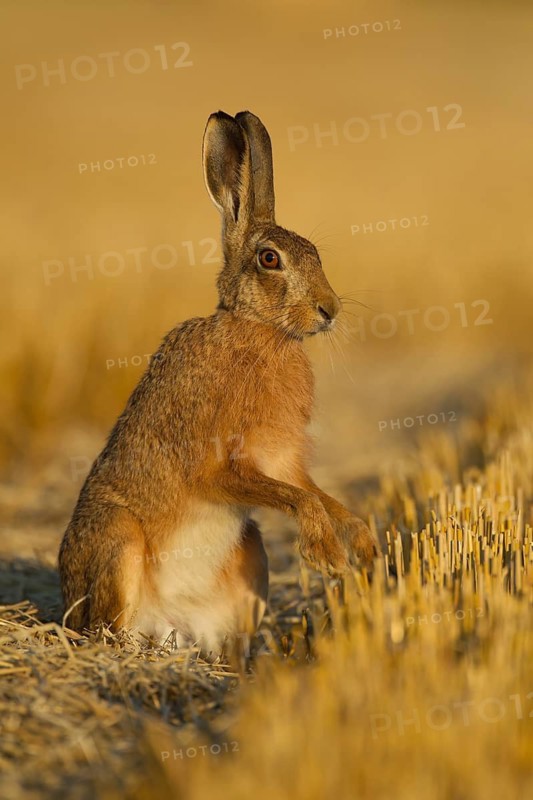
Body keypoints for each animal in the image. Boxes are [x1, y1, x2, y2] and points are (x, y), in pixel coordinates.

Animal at [58, 109, 378, 655]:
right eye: (270, 259)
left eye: (316, 254)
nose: (329, 310)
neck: (259, 329)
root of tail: (168, 627)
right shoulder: (218, 466)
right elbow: (303, 499)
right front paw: (327, 556)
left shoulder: (282, 463)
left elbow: (317, 493)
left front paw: (363, 544)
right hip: (118, 542)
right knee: (109, 630)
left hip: (251, 557)